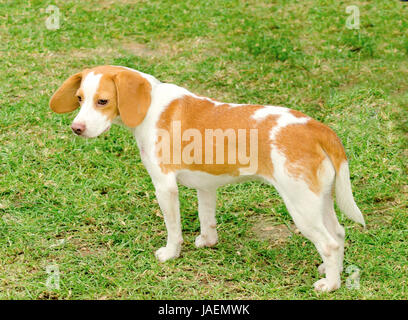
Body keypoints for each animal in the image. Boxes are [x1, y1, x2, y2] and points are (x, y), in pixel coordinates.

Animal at [49, 65, 364, 292]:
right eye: (79, 99)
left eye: (103, 101)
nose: (76, 128)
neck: (150, 105)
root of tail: (317, 128)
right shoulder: (206, 185)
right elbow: (206, 217)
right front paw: (207, 241)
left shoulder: (164, 186)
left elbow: (173, 229)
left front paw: (170, 254)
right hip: (319, 200)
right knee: (339, 234)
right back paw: (332, 270)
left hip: (301, 206)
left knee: (329, 243)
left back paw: (330, 284)